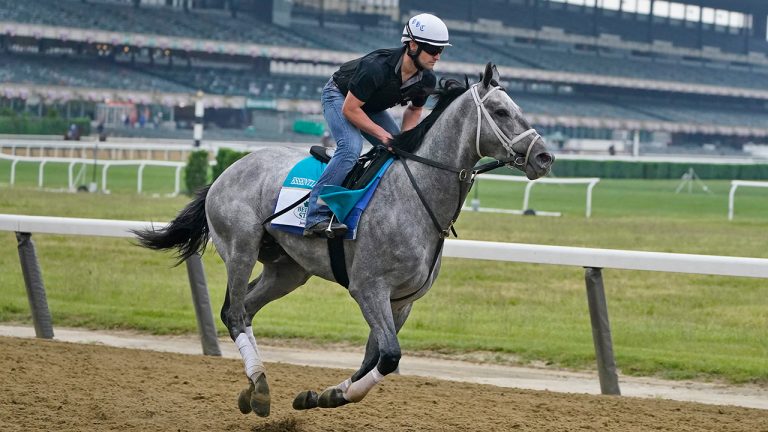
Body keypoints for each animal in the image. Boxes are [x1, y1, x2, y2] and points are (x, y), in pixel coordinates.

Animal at [134, 63, 554, 417]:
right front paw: (330, 394)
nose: (545, 157)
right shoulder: (368, 287)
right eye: (500, 111)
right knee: (233, 312)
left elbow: (375, 357)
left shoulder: (403, 300)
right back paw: (260, 386)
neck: (413, 196)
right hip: (240, 247)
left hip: (287, 270)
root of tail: (226, 171)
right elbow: (390, 356)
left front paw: (322, 395)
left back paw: (252, 389)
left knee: (247, 309)